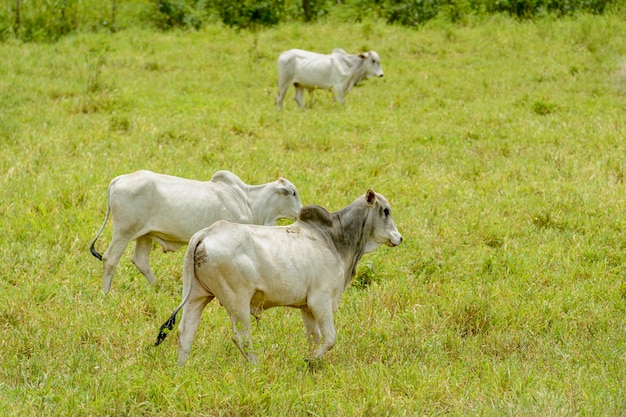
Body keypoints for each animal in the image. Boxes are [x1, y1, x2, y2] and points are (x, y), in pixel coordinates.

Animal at [89, 169, 302, 292]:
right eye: (293, 192)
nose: (302, 211)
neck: (250, 202)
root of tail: (119, 179)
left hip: (144, 235)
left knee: (140, 261)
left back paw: (159, 288)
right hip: (124, 232)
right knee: (109, 259)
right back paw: (106, 293)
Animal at [154, 188, 402, 364]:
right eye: (385, 211)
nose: (399, 238)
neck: (334, 238)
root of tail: (206, 233)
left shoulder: (306, 307)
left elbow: (314, 338)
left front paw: (313, 363)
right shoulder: (320, 301)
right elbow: (330, 338)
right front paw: (310, 361)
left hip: (196, 295)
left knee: (185, 333)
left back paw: (181, 370)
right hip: (237, 301)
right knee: (241, 337)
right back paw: (255, 366)